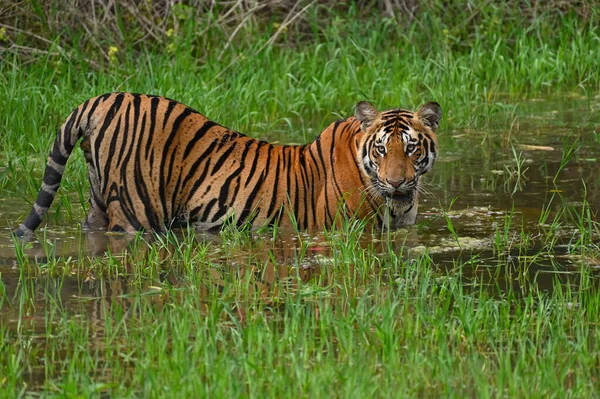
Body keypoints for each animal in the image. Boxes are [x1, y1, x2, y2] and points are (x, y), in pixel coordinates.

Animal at [14, 93, 440, 238]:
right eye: (382, 150)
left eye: (411, 149)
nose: (397, 182)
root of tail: (103, 98)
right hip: (136, 212)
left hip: (98, 202)